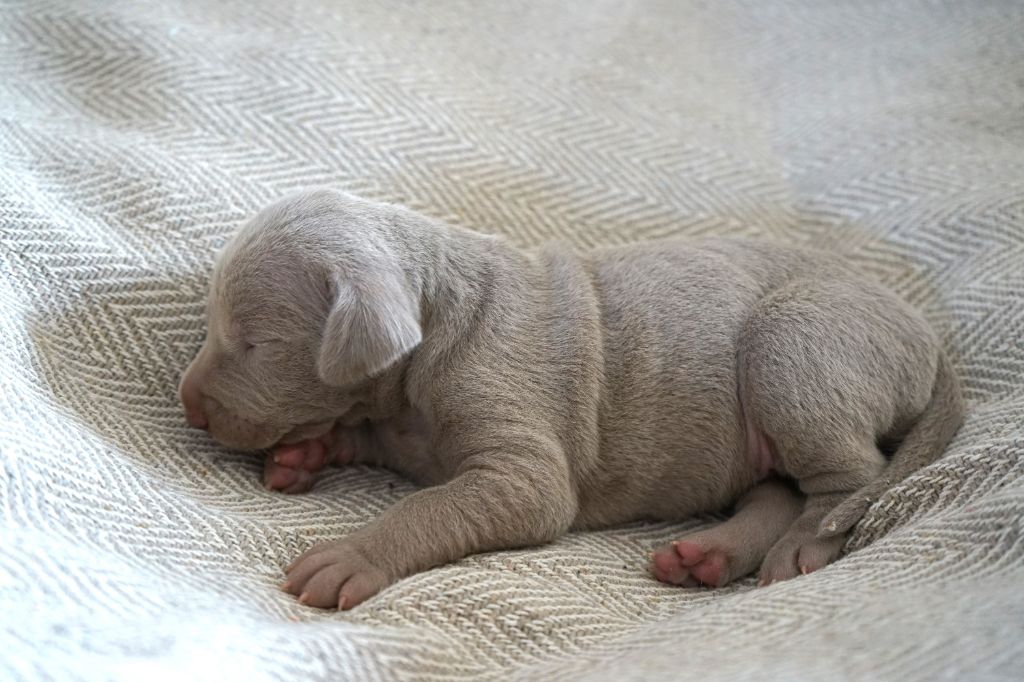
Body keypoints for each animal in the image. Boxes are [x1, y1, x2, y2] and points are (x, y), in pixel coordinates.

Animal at [180, 188, 962, 606]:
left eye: (252, 343)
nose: (188, 404)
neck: (442, 320)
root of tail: (927, 336)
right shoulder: (394, 420)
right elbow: (365, 433)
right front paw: (304, 454)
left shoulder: (518, 449)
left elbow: (436, 505)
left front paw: (349, 556)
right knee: (776, 490)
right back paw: (707, 554)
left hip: (795, 344)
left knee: (845, 481)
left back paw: (799, 548)